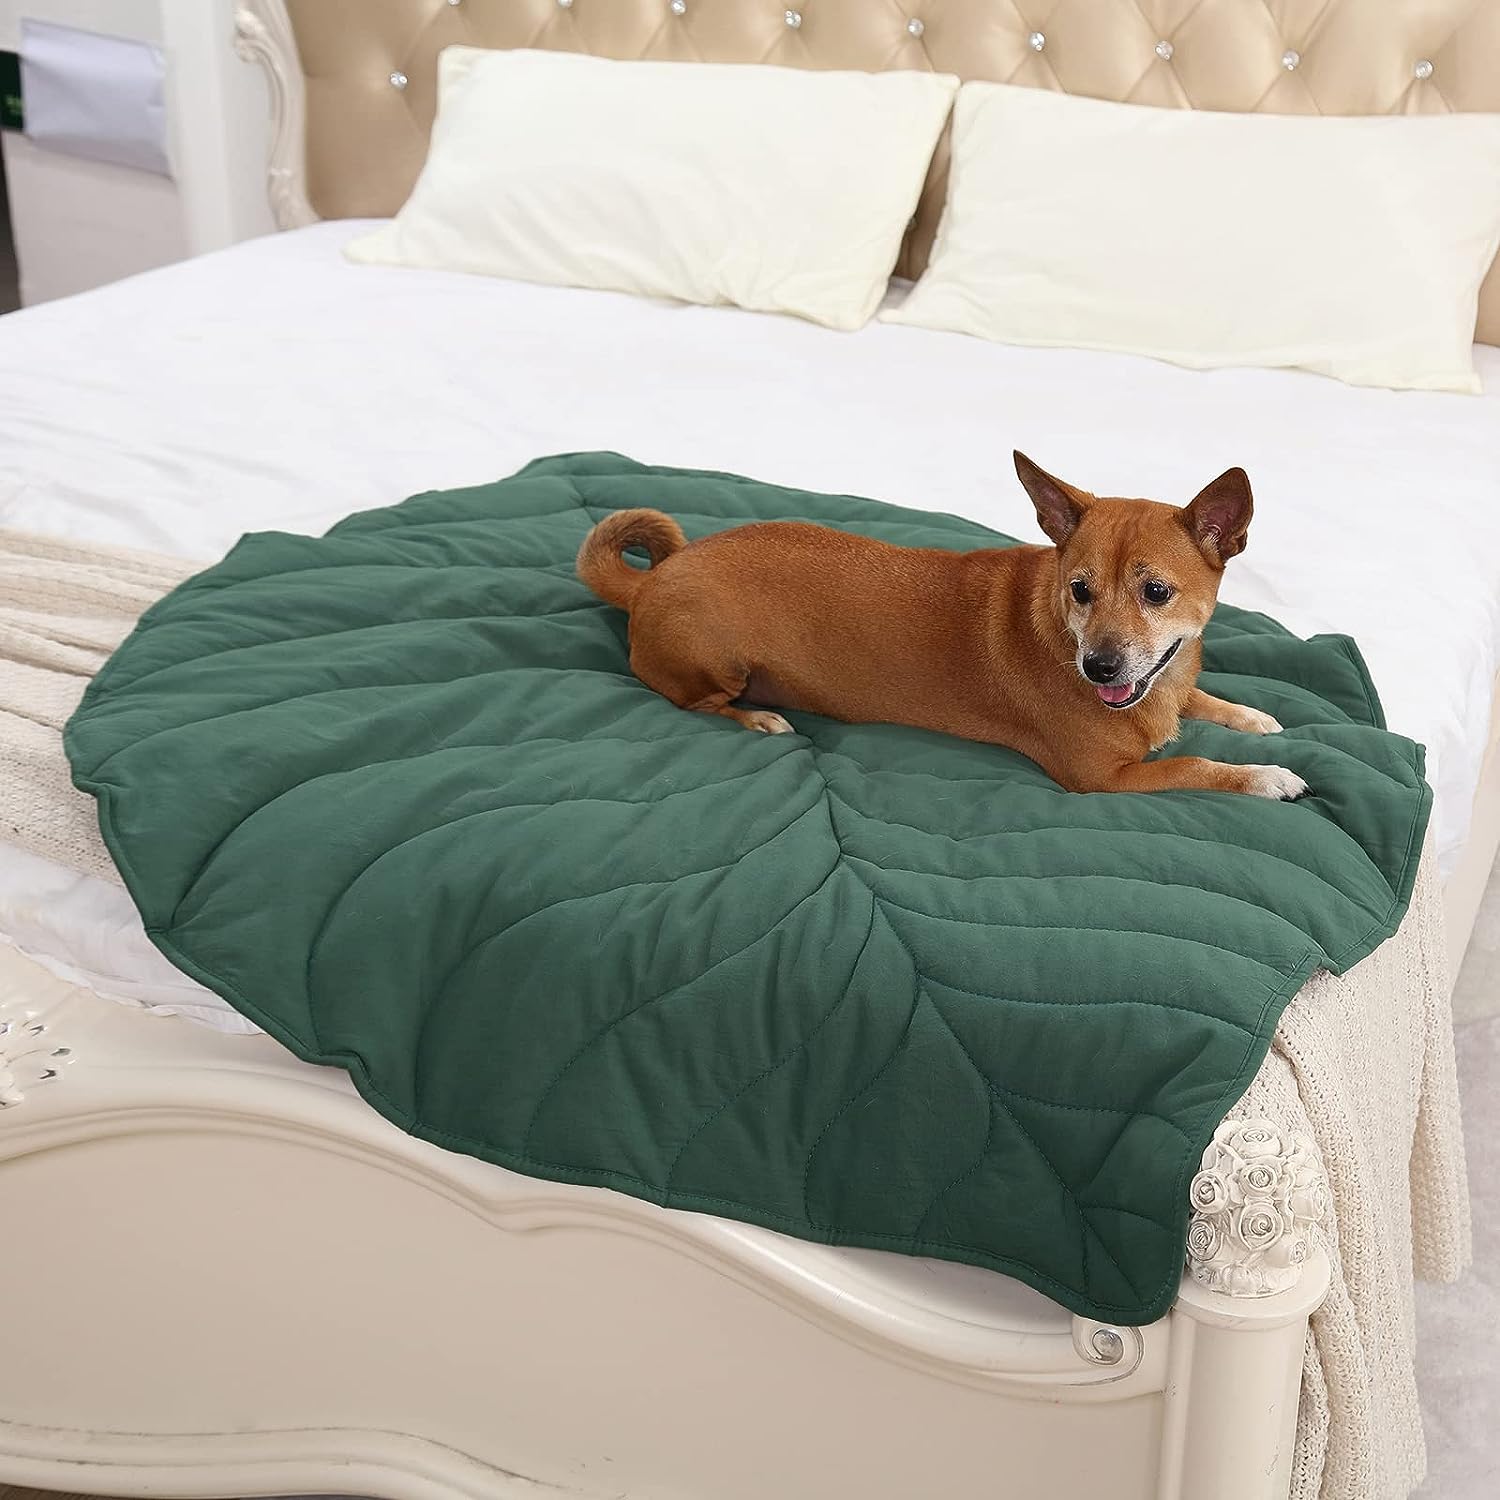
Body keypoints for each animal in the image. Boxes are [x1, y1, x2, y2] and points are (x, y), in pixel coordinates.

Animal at [579, 456, 1308, 804]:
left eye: (1156, 592)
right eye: (1080, 590)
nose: (1098, 669)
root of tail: (650, 581)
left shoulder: (1170, 680)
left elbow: (1201, 698)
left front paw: (1248, 715)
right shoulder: (1104, 779)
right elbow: (1193, 762)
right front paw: (1265, 776)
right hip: (720, 663)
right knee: (696, 703)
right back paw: (757, 717)